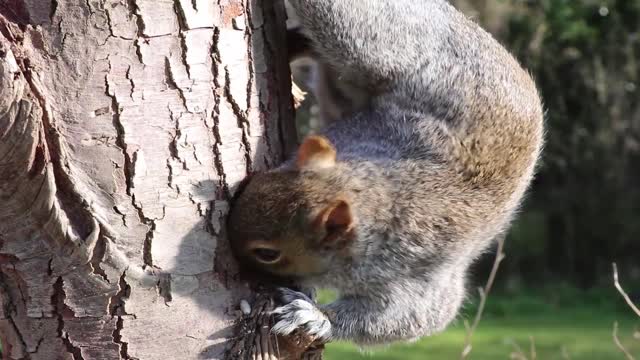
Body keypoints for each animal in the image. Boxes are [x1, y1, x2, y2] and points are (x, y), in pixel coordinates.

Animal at [228, 0, 544, 344]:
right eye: (260, 180)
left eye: (267, 253)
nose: (227, 244)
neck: (378, 193)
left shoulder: (413, 272)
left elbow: (411, 317)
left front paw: (315, 317)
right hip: (373, 46)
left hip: (378, 45)